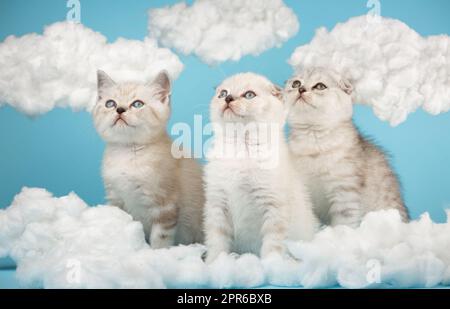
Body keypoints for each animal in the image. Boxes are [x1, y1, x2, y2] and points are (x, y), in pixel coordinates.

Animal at [92, 70, 204, 248]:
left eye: (137, 104)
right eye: (110, 104)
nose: (120, 109)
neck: (128, 153)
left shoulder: (165, 205)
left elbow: (160, 239)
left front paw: (156, 253)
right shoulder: (115, 198)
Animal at [202, 73, 318, 262]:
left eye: (249, 95)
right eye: (223, 93)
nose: (228, 98)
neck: (241, 147)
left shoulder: (274, 206)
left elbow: (272, 243)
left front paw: (270, 264)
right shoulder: (218, 204)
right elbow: (217, 240)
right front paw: (215, 262)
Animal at [286, 67, 410, 226]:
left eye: (320, 86)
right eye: (295, 83)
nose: (301, 89)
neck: (313, 140)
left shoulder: (345, 192)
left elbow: (344, 222)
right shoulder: (303, 189)